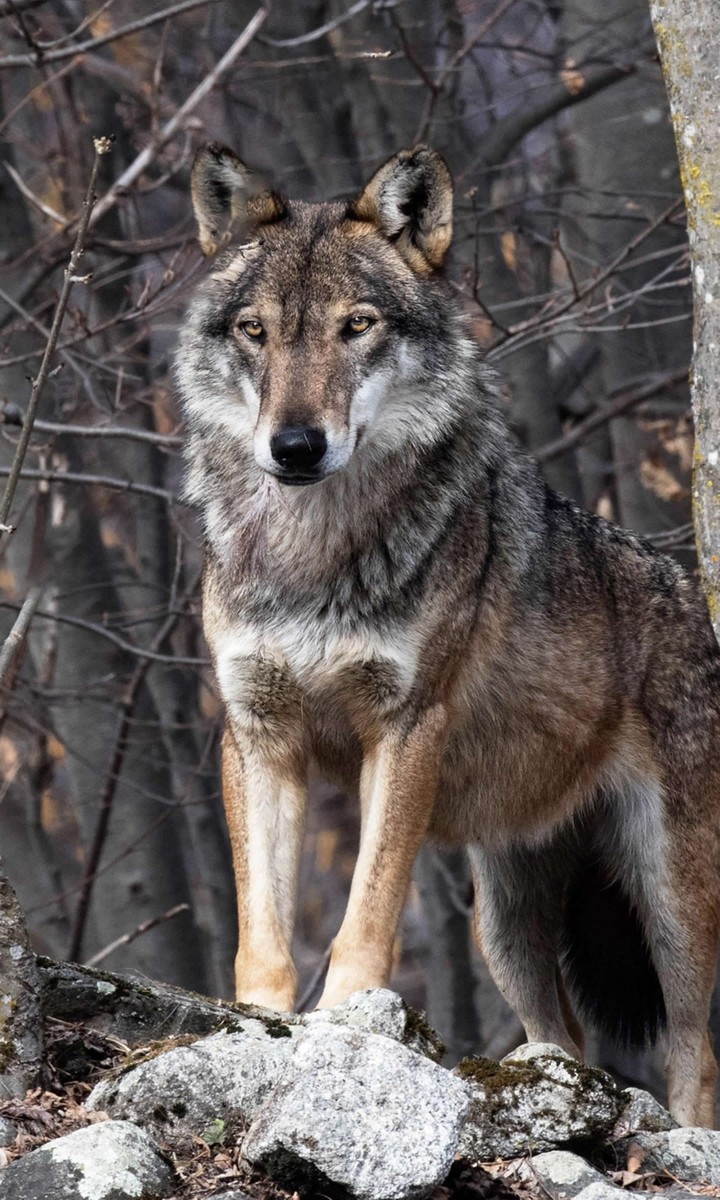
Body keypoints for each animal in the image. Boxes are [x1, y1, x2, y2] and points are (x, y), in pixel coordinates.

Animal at [176, 142, 720, 1127]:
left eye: (356, 327)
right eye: (256, 332)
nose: (295, 446)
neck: (313, 554)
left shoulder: (405, 727)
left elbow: (367, 910)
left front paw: (346, 1028)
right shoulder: (256, 733)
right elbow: (261, 929)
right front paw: (257, 1024)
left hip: (673, 902)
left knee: (695, 1053)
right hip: (503, 924)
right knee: (564, 1039)